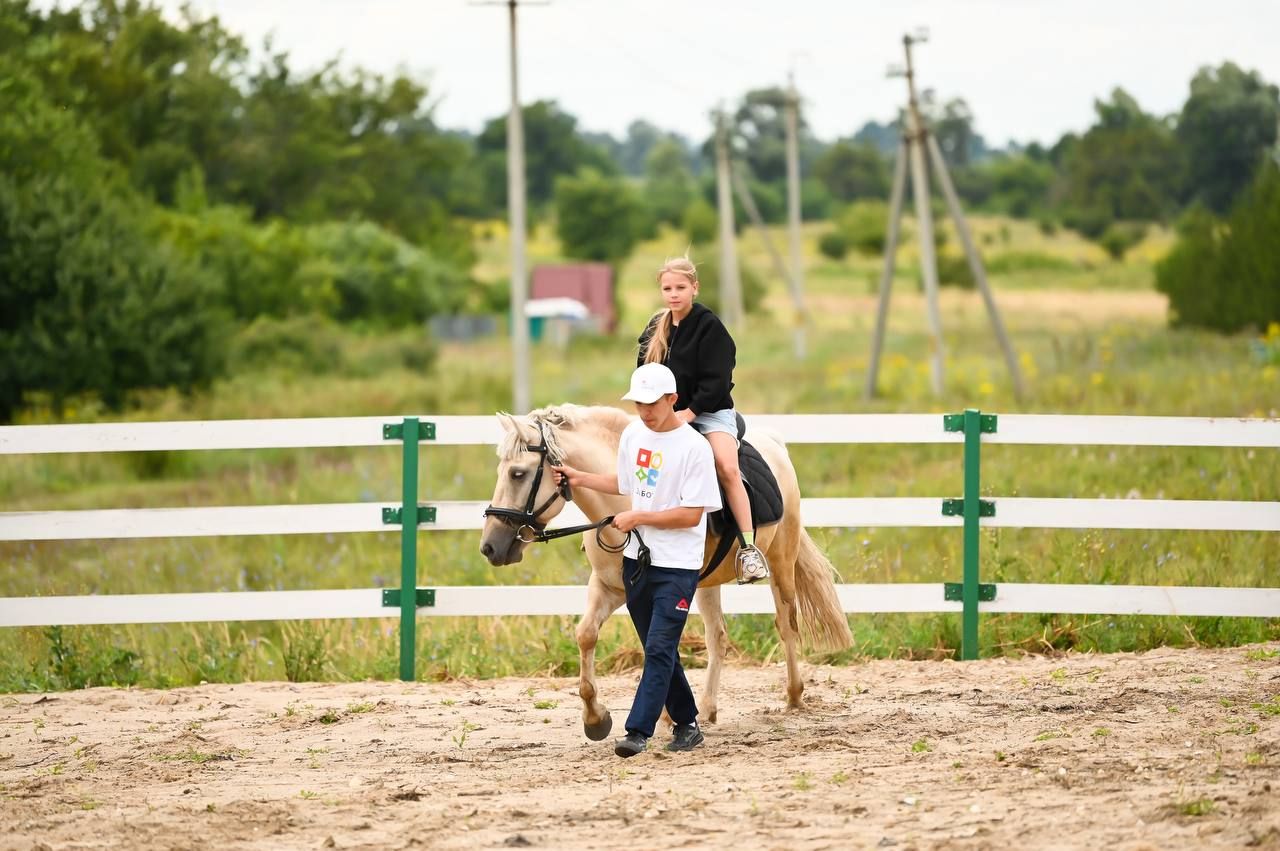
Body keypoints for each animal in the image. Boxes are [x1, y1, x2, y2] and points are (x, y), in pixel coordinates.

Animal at [478, 401, 849, 742]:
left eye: (517, 473)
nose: (490, 547)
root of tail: (774, 444)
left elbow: (661, 642)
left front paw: (664, 717)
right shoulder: (609, 587)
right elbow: (587, 635)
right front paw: (596, 719)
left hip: (781, 558)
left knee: (786, 623)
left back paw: (794, 696)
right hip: (709, 583)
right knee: (717, 637)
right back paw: (708, 708)